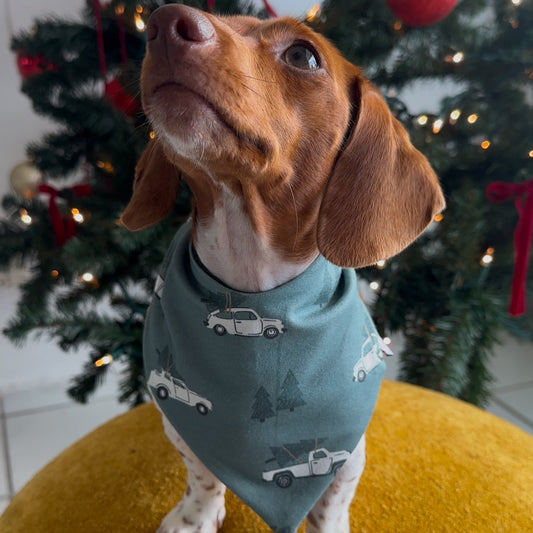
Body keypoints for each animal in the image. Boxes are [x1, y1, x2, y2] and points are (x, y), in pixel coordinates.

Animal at [121, 5, 444, 532]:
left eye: (301, 55)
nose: (164, 21)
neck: (255, 280)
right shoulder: (181, 422)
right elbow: (200, 472)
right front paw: (195, 516)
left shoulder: (347, 451)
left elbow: (332, 499)